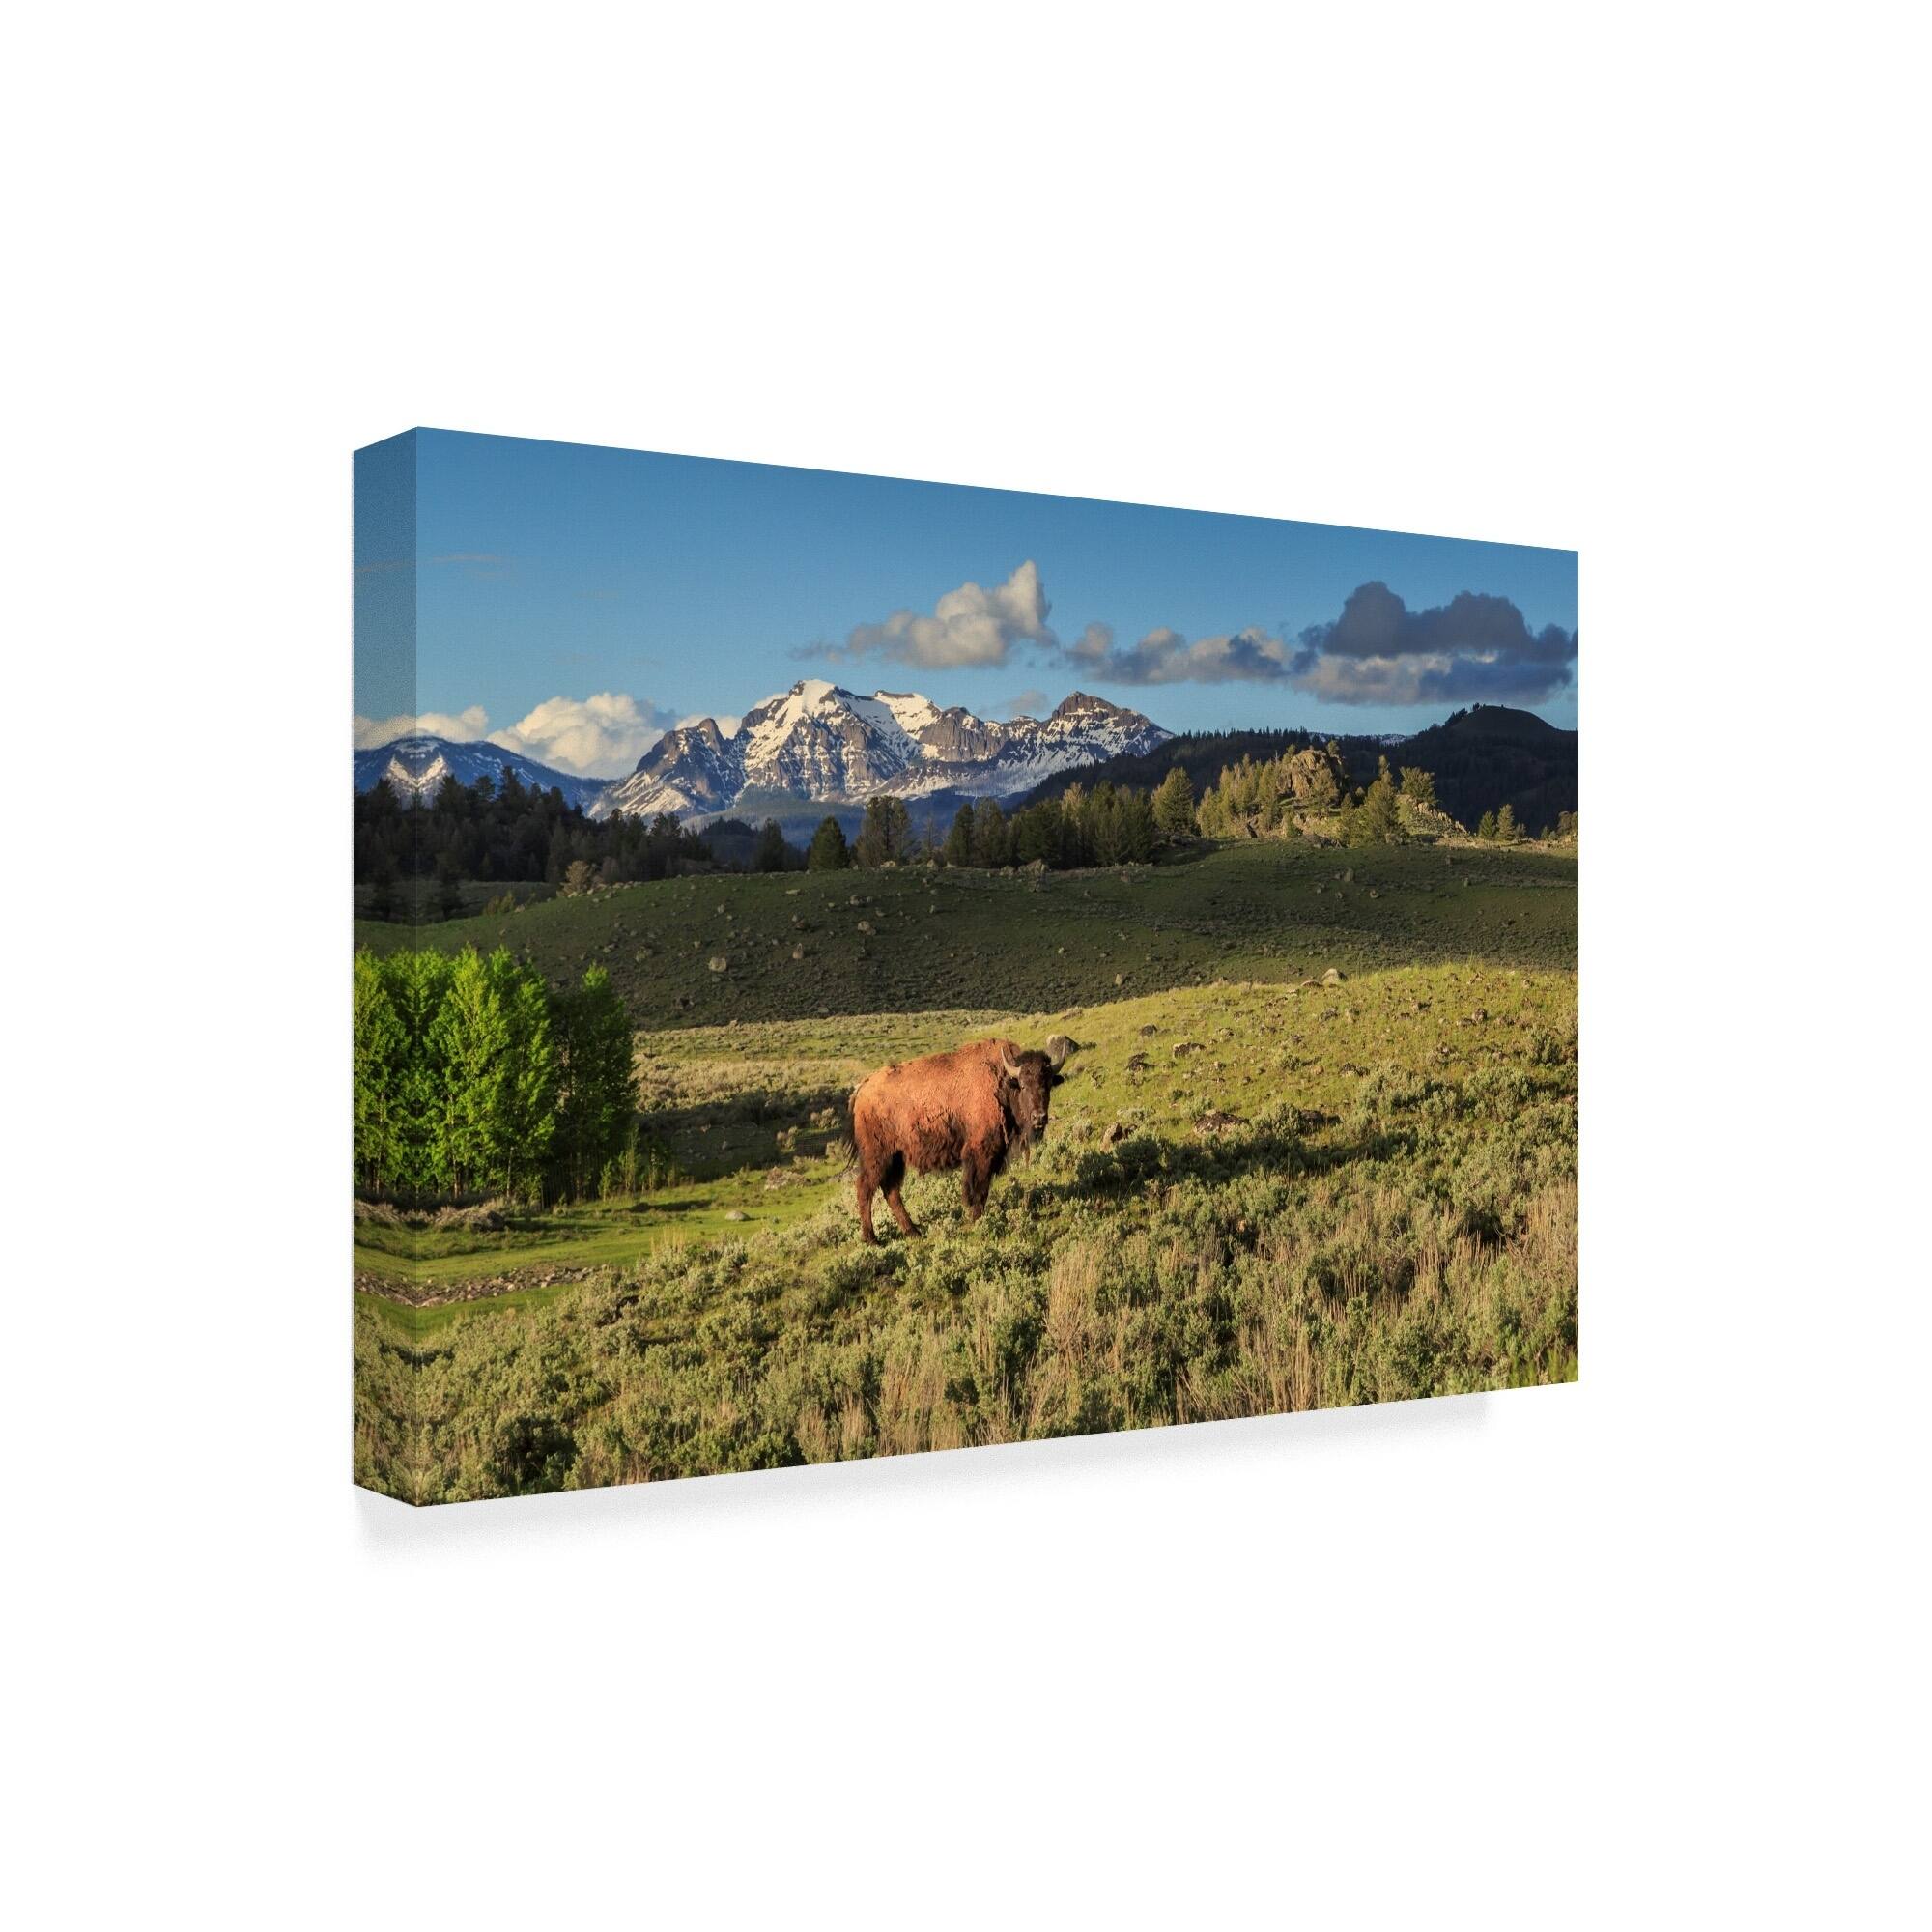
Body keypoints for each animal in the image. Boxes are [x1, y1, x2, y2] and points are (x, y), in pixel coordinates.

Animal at [849, 1034, 1072, 1243]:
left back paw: (913, 1232)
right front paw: (977, 1220)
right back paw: (872, 1239)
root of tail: (862, 1089)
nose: (1039, 1117)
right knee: (865, 1188)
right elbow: (978, 1188)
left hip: (896, 1157)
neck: (1002, 1083)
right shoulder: (981, 1152)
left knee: (891, 1191)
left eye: (1048, 1084)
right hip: (877, 1156)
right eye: (1023, 1085)